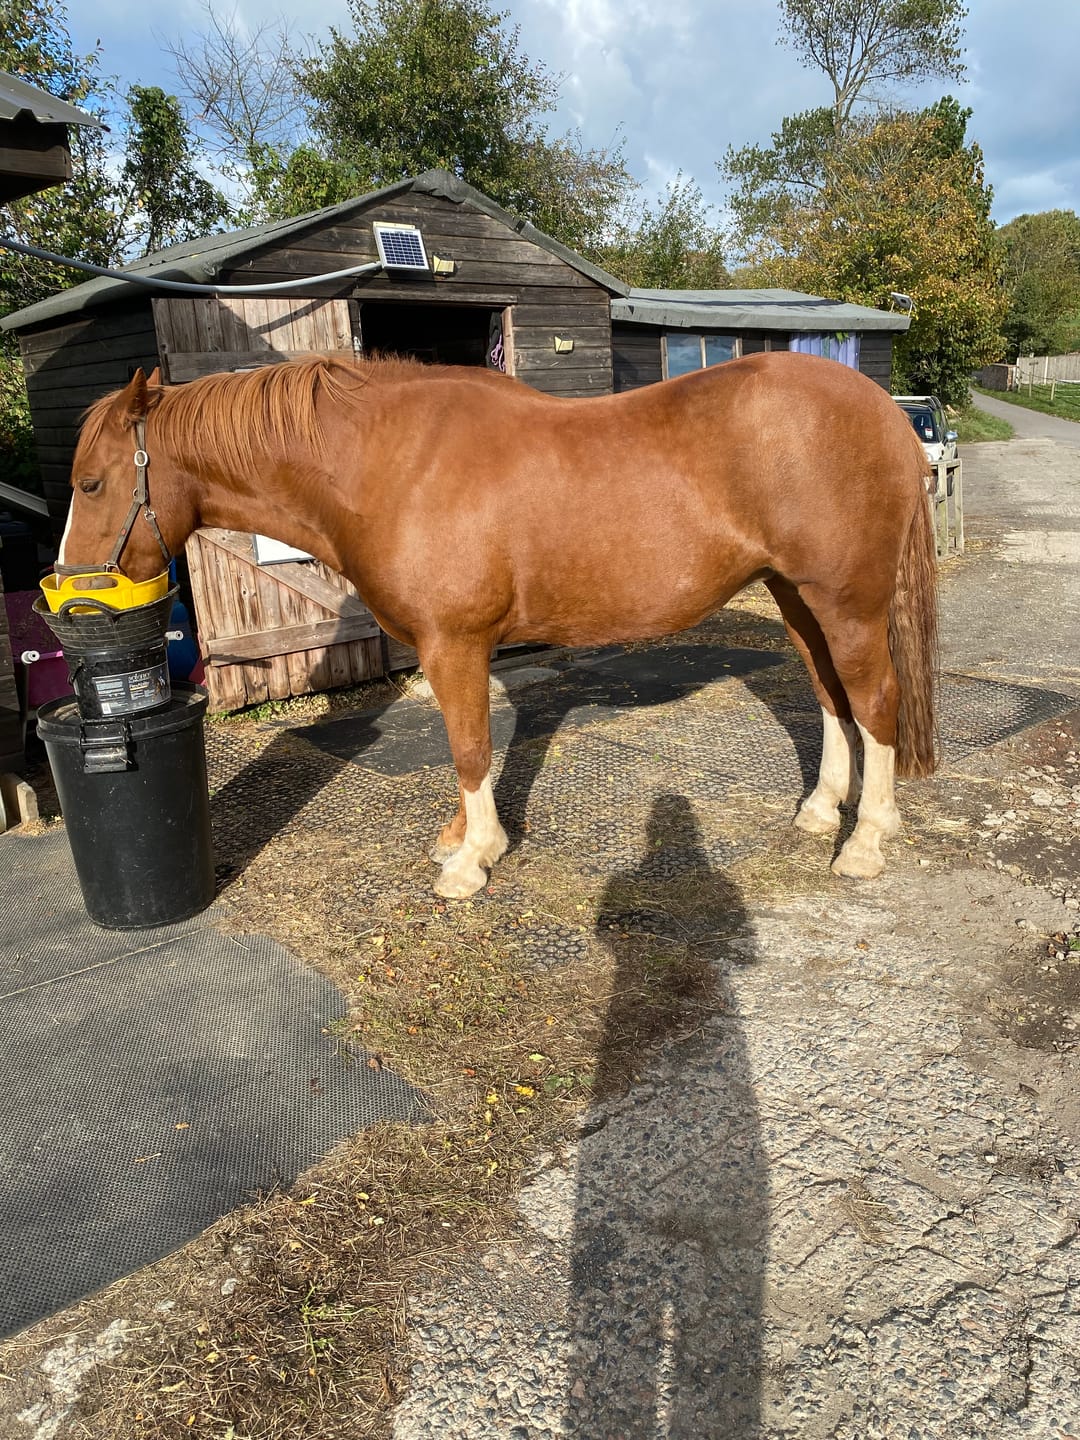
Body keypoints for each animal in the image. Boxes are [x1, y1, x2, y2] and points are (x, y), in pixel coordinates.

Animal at [58, 350, 937, 898]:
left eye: (92, 482)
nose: (70, 599)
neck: (387, 462)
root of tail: (889, 415)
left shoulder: (456, 643)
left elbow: (471, 747)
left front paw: (472, 862)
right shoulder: (446, 648)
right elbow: (467, 747)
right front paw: (459, 839)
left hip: (847, 601)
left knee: (875, 701)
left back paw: (865, 842)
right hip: (796, 598)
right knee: (830, 697)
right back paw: (821, 810)